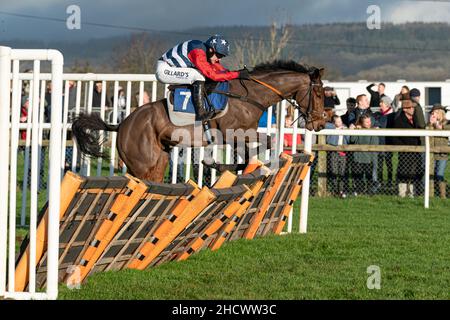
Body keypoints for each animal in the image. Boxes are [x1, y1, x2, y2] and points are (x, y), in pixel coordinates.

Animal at [72, 59, 326, 182]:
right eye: (319, 93)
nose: (320, 124)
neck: (250, 95)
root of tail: (122, 125)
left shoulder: (242, 135)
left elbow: (255, 151)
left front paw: (229, 166)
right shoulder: (234, 134)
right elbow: (266, 144)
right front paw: (223, 165)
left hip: (159, 160)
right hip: (142, 163)